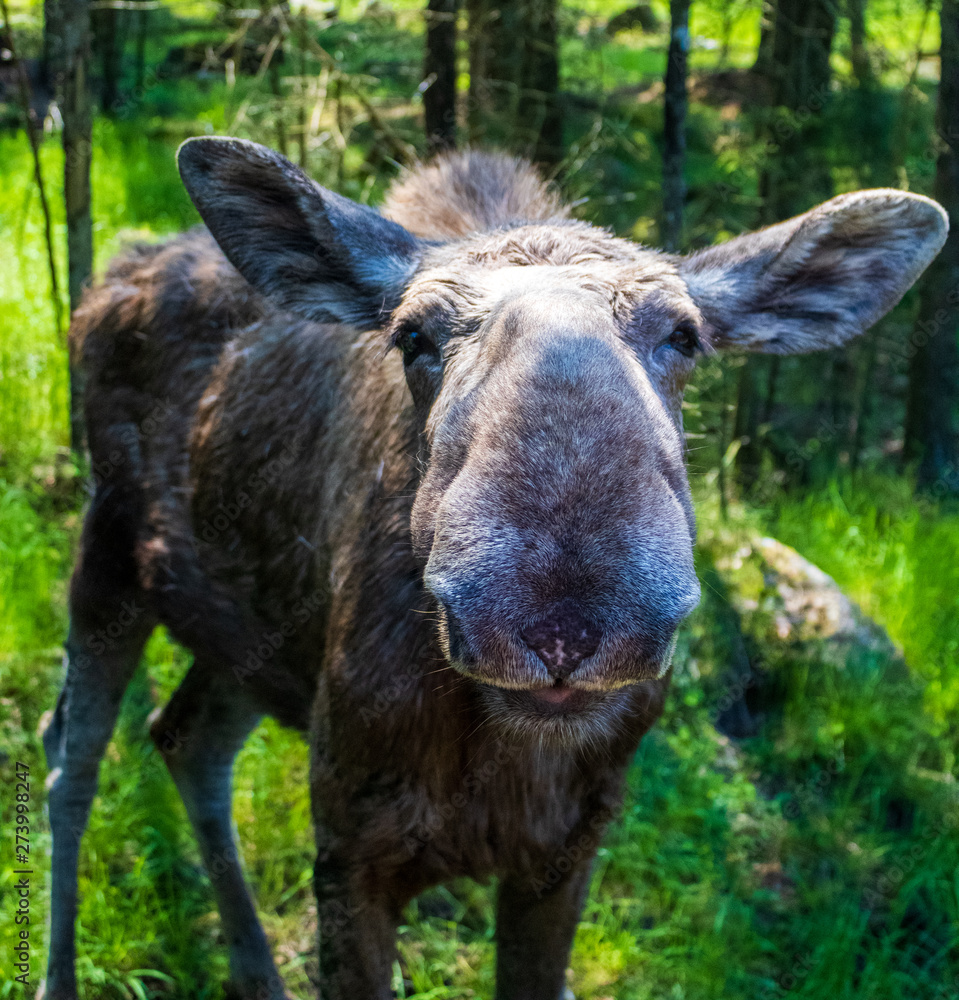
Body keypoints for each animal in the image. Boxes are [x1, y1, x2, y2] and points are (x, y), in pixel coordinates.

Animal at [42, 137, 947, 1000]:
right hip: (109, 547)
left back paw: (256, 973)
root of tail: (116, 270)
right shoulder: (347, 845)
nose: (561, 621)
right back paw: (61, 973)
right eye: (411, 335)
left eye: (684, 337)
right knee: (70, 757)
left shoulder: (566, 850)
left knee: (183, 737)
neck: (498, 758)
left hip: (248, 634)